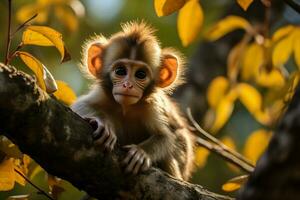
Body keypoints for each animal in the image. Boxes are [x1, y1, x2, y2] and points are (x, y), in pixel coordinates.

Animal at [72, 21, 195, 181]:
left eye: (140, 74)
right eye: (120, 71)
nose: (127, 85)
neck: (126, 108)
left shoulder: (152, 106)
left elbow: (167, 137)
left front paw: (141, 153)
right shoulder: (103, 94)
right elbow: (80, 105)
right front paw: (103, 123)